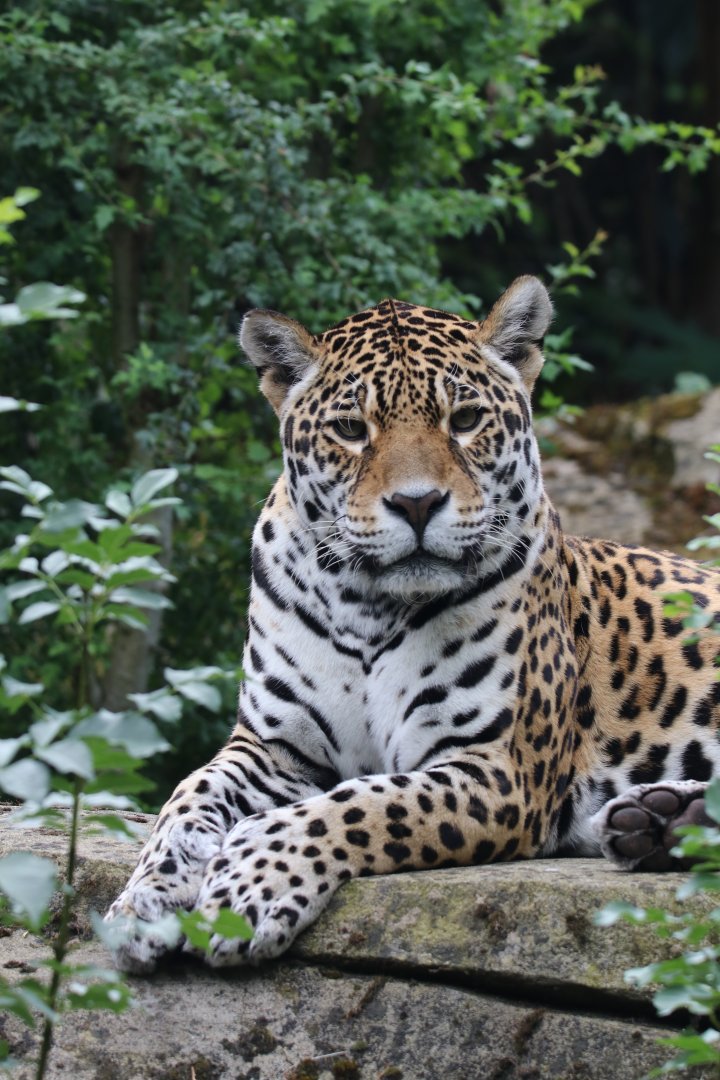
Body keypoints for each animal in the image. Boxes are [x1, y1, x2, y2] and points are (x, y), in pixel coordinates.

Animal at [107, 275, 720, 973]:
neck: (367, 608)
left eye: (465, 420)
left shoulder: (496, 766)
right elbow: (186, 798)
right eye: (351, 429)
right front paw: (143, 899)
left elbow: (364, 805)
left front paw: (247, 885)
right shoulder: (272, 747)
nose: (417, 503)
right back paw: (659, 820)